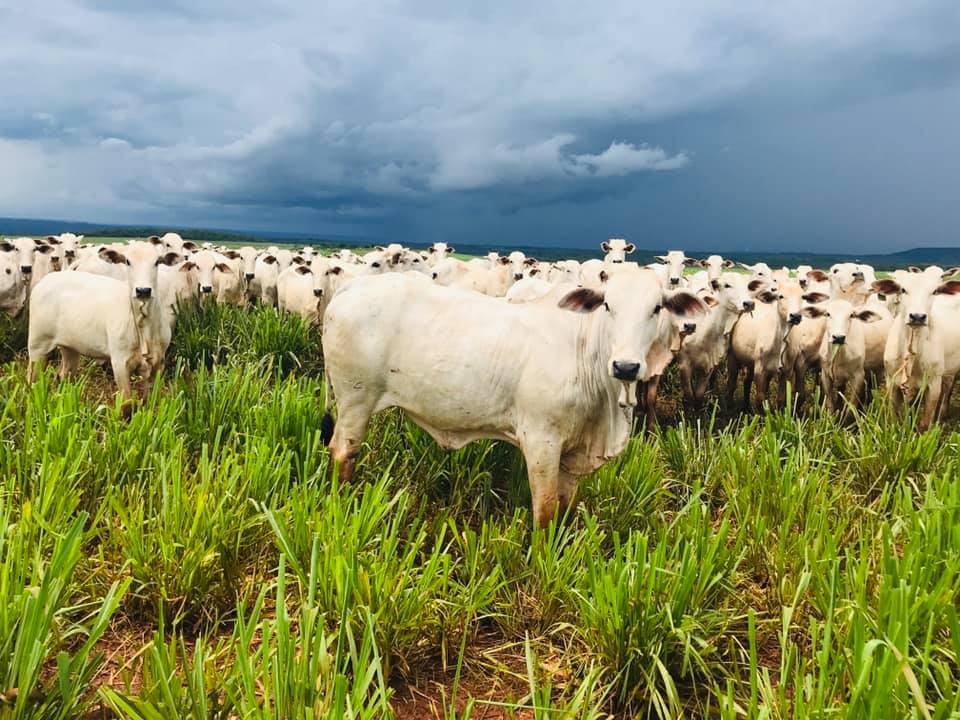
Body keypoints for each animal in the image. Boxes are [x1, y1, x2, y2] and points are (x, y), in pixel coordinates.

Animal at [318, 268, 700, 524]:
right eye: (607, 305)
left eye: (657, 308)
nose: (626, 366)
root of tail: (353, 285)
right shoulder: (541, 441)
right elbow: (545, 512)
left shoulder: (572, 453)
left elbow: (564, 510)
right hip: (355, 400)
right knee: (342, 453)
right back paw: (342, 506)